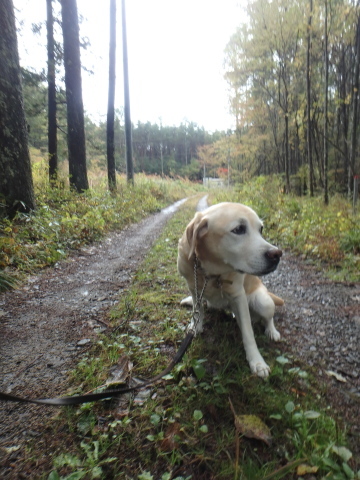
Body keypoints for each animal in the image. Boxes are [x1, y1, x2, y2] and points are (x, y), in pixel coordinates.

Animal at [178, 202, 284, 378]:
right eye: (239, 229)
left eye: (261, 229)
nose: (277, 254)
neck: (210, 273)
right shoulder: (193, 288)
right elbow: (197, 309)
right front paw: (196, 325)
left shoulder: (239, 296)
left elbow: (248, 334)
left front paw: (257, 362)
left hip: (263, 302)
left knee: (268, 318)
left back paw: (272, 331)